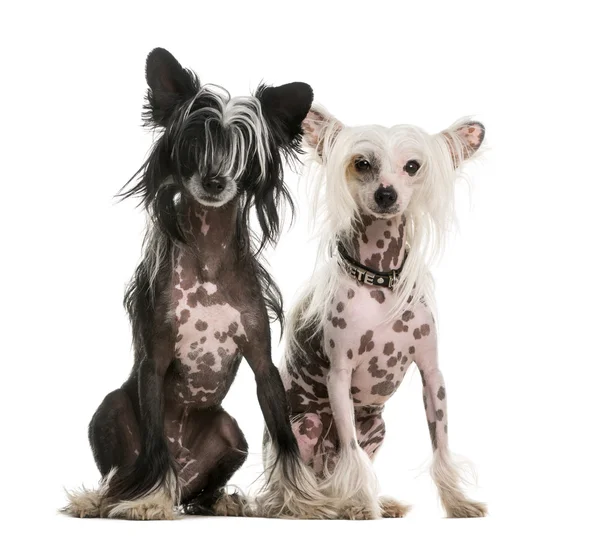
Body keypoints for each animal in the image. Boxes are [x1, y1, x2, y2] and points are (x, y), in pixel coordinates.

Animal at [64, 48, 318, 516]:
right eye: (196, 143)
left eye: (242, 149)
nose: (215, 180)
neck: (208, 260)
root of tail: (184, 479)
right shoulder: (154, 359)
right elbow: (153, 449)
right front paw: (147, 501)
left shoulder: (263, 365)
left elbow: (286, 440)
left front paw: (307, 502)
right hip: (110, 409)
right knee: (124, 472)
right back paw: (109, 498)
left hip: (232, 433)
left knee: (203, 490)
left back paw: (218, 503)